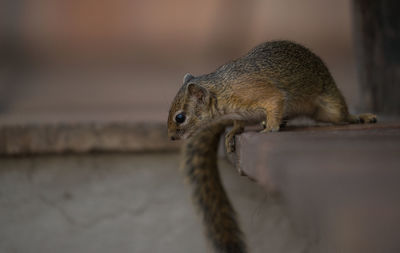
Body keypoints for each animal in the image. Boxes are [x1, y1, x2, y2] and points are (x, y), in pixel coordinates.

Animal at [167, 40, 376, 252]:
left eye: (180, 117)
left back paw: (359, 117)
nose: (171, 137)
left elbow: (275, 102)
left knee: (341, 115)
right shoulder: (239, 114)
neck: (222, 92)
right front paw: (234, 132)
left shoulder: (263, 93)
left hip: (329, 106)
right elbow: (239, 124)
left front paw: (270, 128)